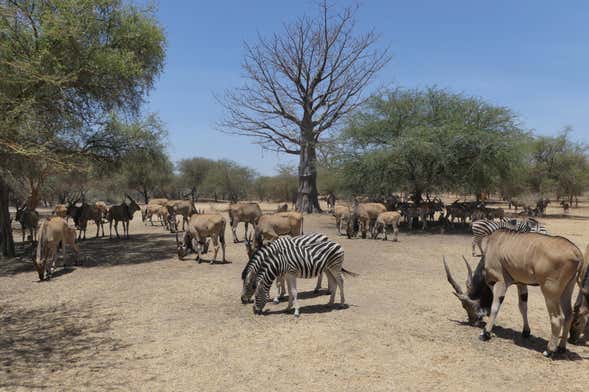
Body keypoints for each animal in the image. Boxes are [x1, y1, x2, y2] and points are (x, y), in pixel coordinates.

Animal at [444, 230, 584, 358]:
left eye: (466, 306)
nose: (472, 321)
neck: (493, 244)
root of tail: (576, 252)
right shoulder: (521, 284)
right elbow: (523, 307)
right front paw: (526, 332)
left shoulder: (500, 282)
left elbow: (495, 307)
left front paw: (485, 333)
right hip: (567, 290)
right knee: (569, 314)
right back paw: (561, 347)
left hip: (550, 293)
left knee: (557, 318)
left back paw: (549, 350)